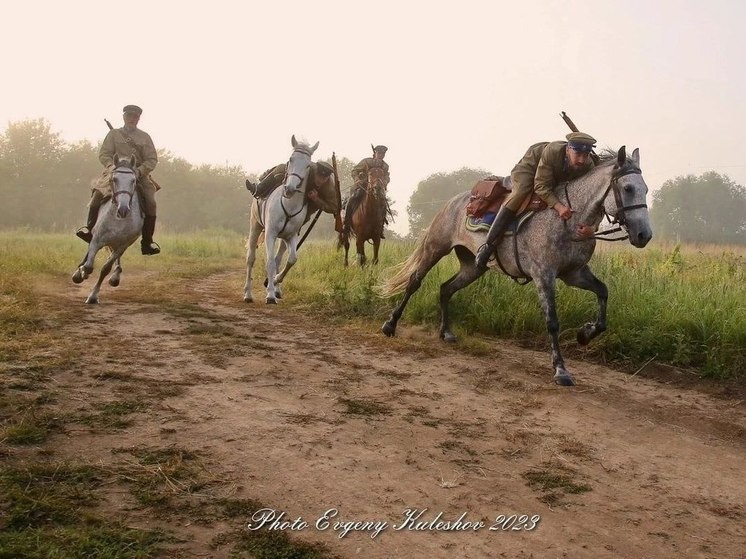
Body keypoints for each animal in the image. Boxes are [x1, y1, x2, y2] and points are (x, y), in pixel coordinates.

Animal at [71, 154, 144, 306]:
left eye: (133, 180)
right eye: (114, 179)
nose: (123, 209)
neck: (118, 219)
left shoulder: (122, 246)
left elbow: (105, 268)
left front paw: (93, 296)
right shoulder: (96, 240)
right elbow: (89, 266)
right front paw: (82, 272)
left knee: (114, 259)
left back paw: (115, 276)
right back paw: (79, 273)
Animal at [241, 136, 316, 304]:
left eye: (308, 165)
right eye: (290, 159)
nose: (289, 189)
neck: (289, 205)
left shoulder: (291, 236)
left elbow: (291, 260)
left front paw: (274, 283)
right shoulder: (270, 234)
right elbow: (269, 261)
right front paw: (269, 295)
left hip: (283, 239)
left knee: (279, 259)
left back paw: (276, 288)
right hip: (255, 226)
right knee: (251, 259)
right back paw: (248, 294)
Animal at [378, 147, 652, 388]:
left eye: (646, 190)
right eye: (627, 188)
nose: (644, 235)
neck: (570, 219)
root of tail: (453, 202)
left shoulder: (574, 274)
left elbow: (603, 294)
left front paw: (585, 334)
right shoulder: (544, 275)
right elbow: (552, 322)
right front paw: (561, 370)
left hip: (473, 267)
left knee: (446, 289)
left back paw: (446, 333)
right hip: (436, 248)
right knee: (414, 281)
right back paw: (390, 325)